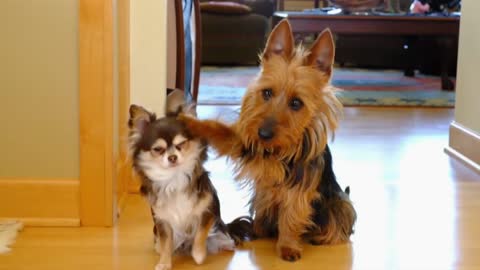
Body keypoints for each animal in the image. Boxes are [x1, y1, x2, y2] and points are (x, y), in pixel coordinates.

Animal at [130, 89, 251, 268]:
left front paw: (199, 255)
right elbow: (166, 243)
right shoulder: (163, 222)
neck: (175, 178)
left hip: (221, 230)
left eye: (181, 144)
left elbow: (200, 234)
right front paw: (164, 263)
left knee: (226, 239)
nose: (172, 157)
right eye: (158, 149)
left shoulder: (208, 211)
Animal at [180, 20, 356, 260]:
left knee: (339, 221)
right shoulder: (245, 142)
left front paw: (288, 246)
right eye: (266, 93)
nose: (263, 134)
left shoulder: (300, 185)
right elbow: (221, 131)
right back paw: (258, 228)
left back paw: (322, 236)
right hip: (262, 200)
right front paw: (191, 122)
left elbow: (293, 212)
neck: (275, 149)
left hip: (340, 202)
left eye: (296, 103)